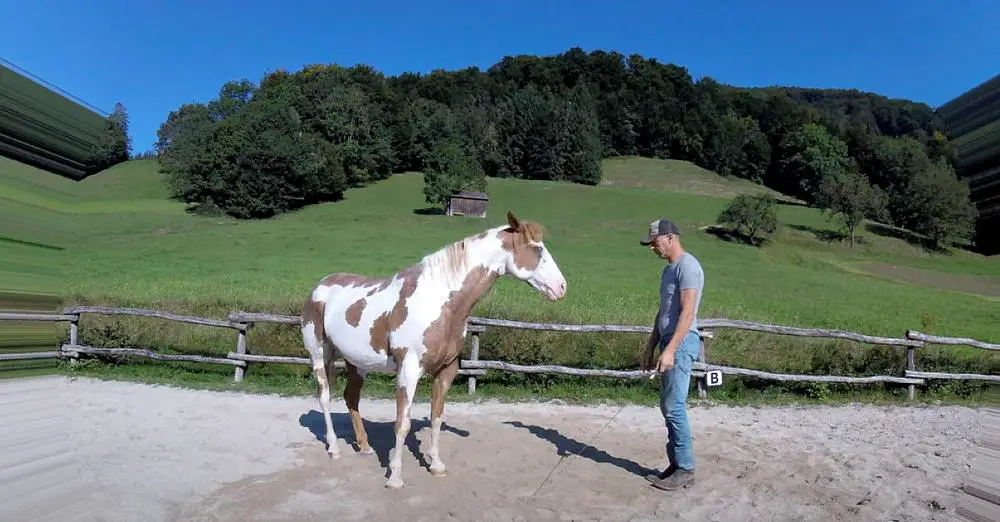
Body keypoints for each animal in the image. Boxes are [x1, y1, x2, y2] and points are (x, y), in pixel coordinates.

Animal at [296, 209, 568, 486]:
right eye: (537, 249)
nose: (561, 287)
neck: (439, 301)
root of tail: (320, 286)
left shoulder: (447, 370)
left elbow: (437, 416)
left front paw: (436, 464)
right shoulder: (408, 371)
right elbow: (402, 423)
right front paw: (395, 477)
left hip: (357, 362)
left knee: (351, 397)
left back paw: (364, 447)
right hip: (320, 355)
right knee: (325, 397)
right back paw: (334, 448)